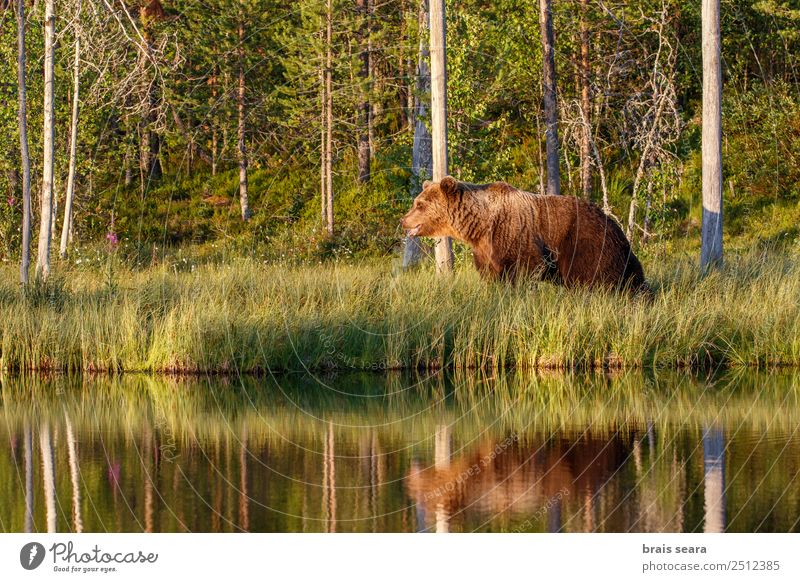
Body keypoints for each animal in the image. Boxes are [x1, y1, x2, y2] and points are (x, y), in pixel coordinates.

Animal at [400, 173, 648, 292]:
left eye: (419, 204)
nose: (403, 220)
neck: (479, 225)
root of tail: (611, 222)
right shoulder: (485, 249)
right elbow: (490, 274)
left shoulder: (513, 235)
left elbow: (524, 269)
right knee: (633, 278)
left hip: (586, 243)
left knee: (593, 278)